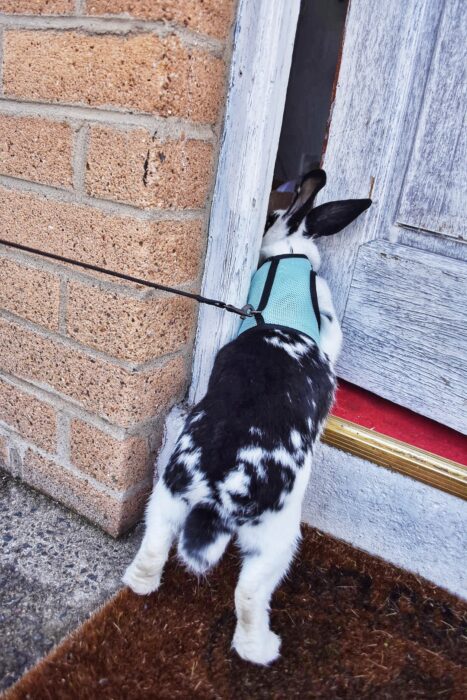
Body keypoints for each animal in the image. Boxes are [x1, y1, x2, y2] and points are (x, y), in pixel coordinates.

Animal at [123, 169, 371, 666]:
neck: (287, 257)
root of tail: (218, 493)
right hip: (275, 538)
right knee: (250, 594)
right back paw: (261, 649)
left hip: (166, 500)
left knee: (153, 549)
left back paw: (141, 586)